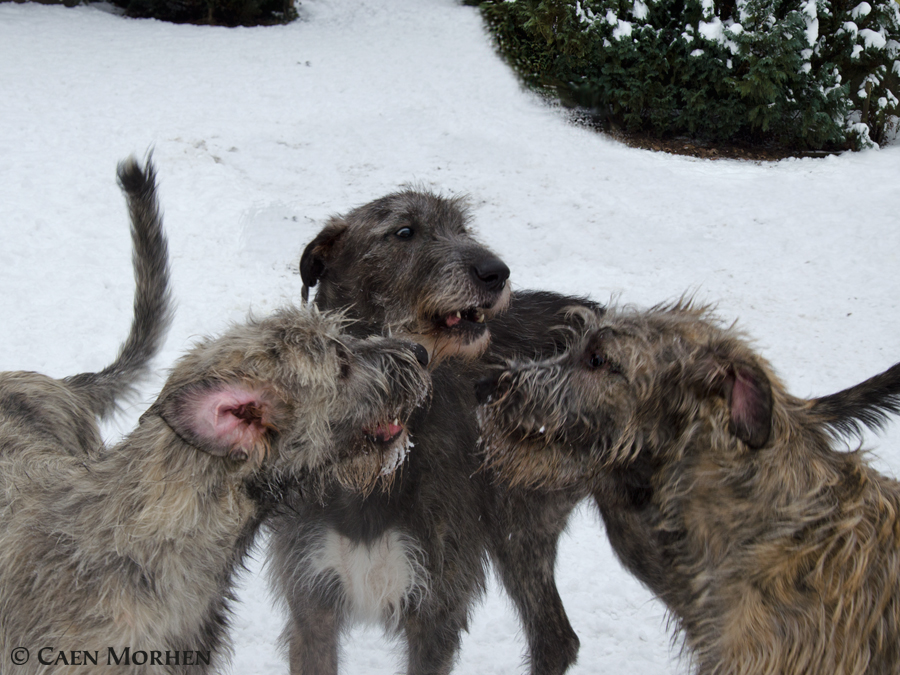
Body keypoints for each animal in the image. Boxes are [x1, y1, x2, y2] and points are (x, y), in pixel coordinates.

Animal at [270, 190, 596, 675]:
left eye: (462, 229)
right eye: (404, 230)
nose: (496, 271)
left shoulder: (437, 610)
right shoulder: (311, 604)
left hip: (518, 520)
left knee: (555, 637)